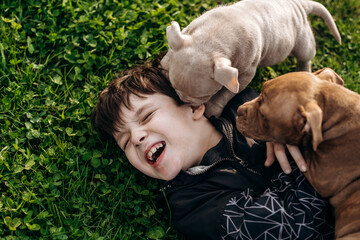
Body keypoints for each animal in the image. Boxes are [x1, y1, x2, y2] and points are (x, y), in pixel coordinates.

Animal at [160, 0, 340, 117]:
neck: (212, 40)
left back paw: (304, 72)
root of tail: (300, 5)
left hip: (302, 36)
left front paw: (211, 111)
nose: (184, 103)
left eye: (204, 97)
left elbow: (227, 93)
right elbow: (172, 49)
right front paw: (163, 65)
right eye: (173, 86)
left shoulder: (245, 71)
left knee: (305, 55)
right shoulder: (188, 33)